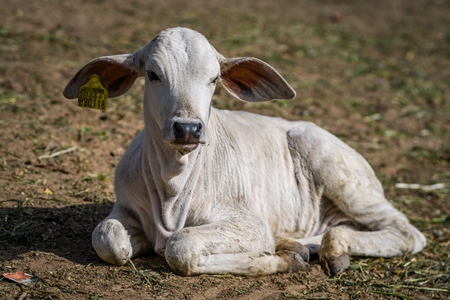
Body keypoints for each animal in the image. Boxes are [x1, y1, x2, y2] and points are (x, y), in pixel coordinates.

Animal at [63, 27, 426, 276]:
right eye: (153, 74)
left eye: (214, 79)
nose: (188, 128)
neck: (171, 188)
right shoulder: (123, 208)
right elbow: (108, 240)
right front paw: (287, 253)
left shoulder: (248, 223)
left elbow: (181, 247)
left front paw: (281, 259)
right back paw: (299, 244)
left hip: (346, 179)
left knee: (407, 233)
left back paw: (333, 250)